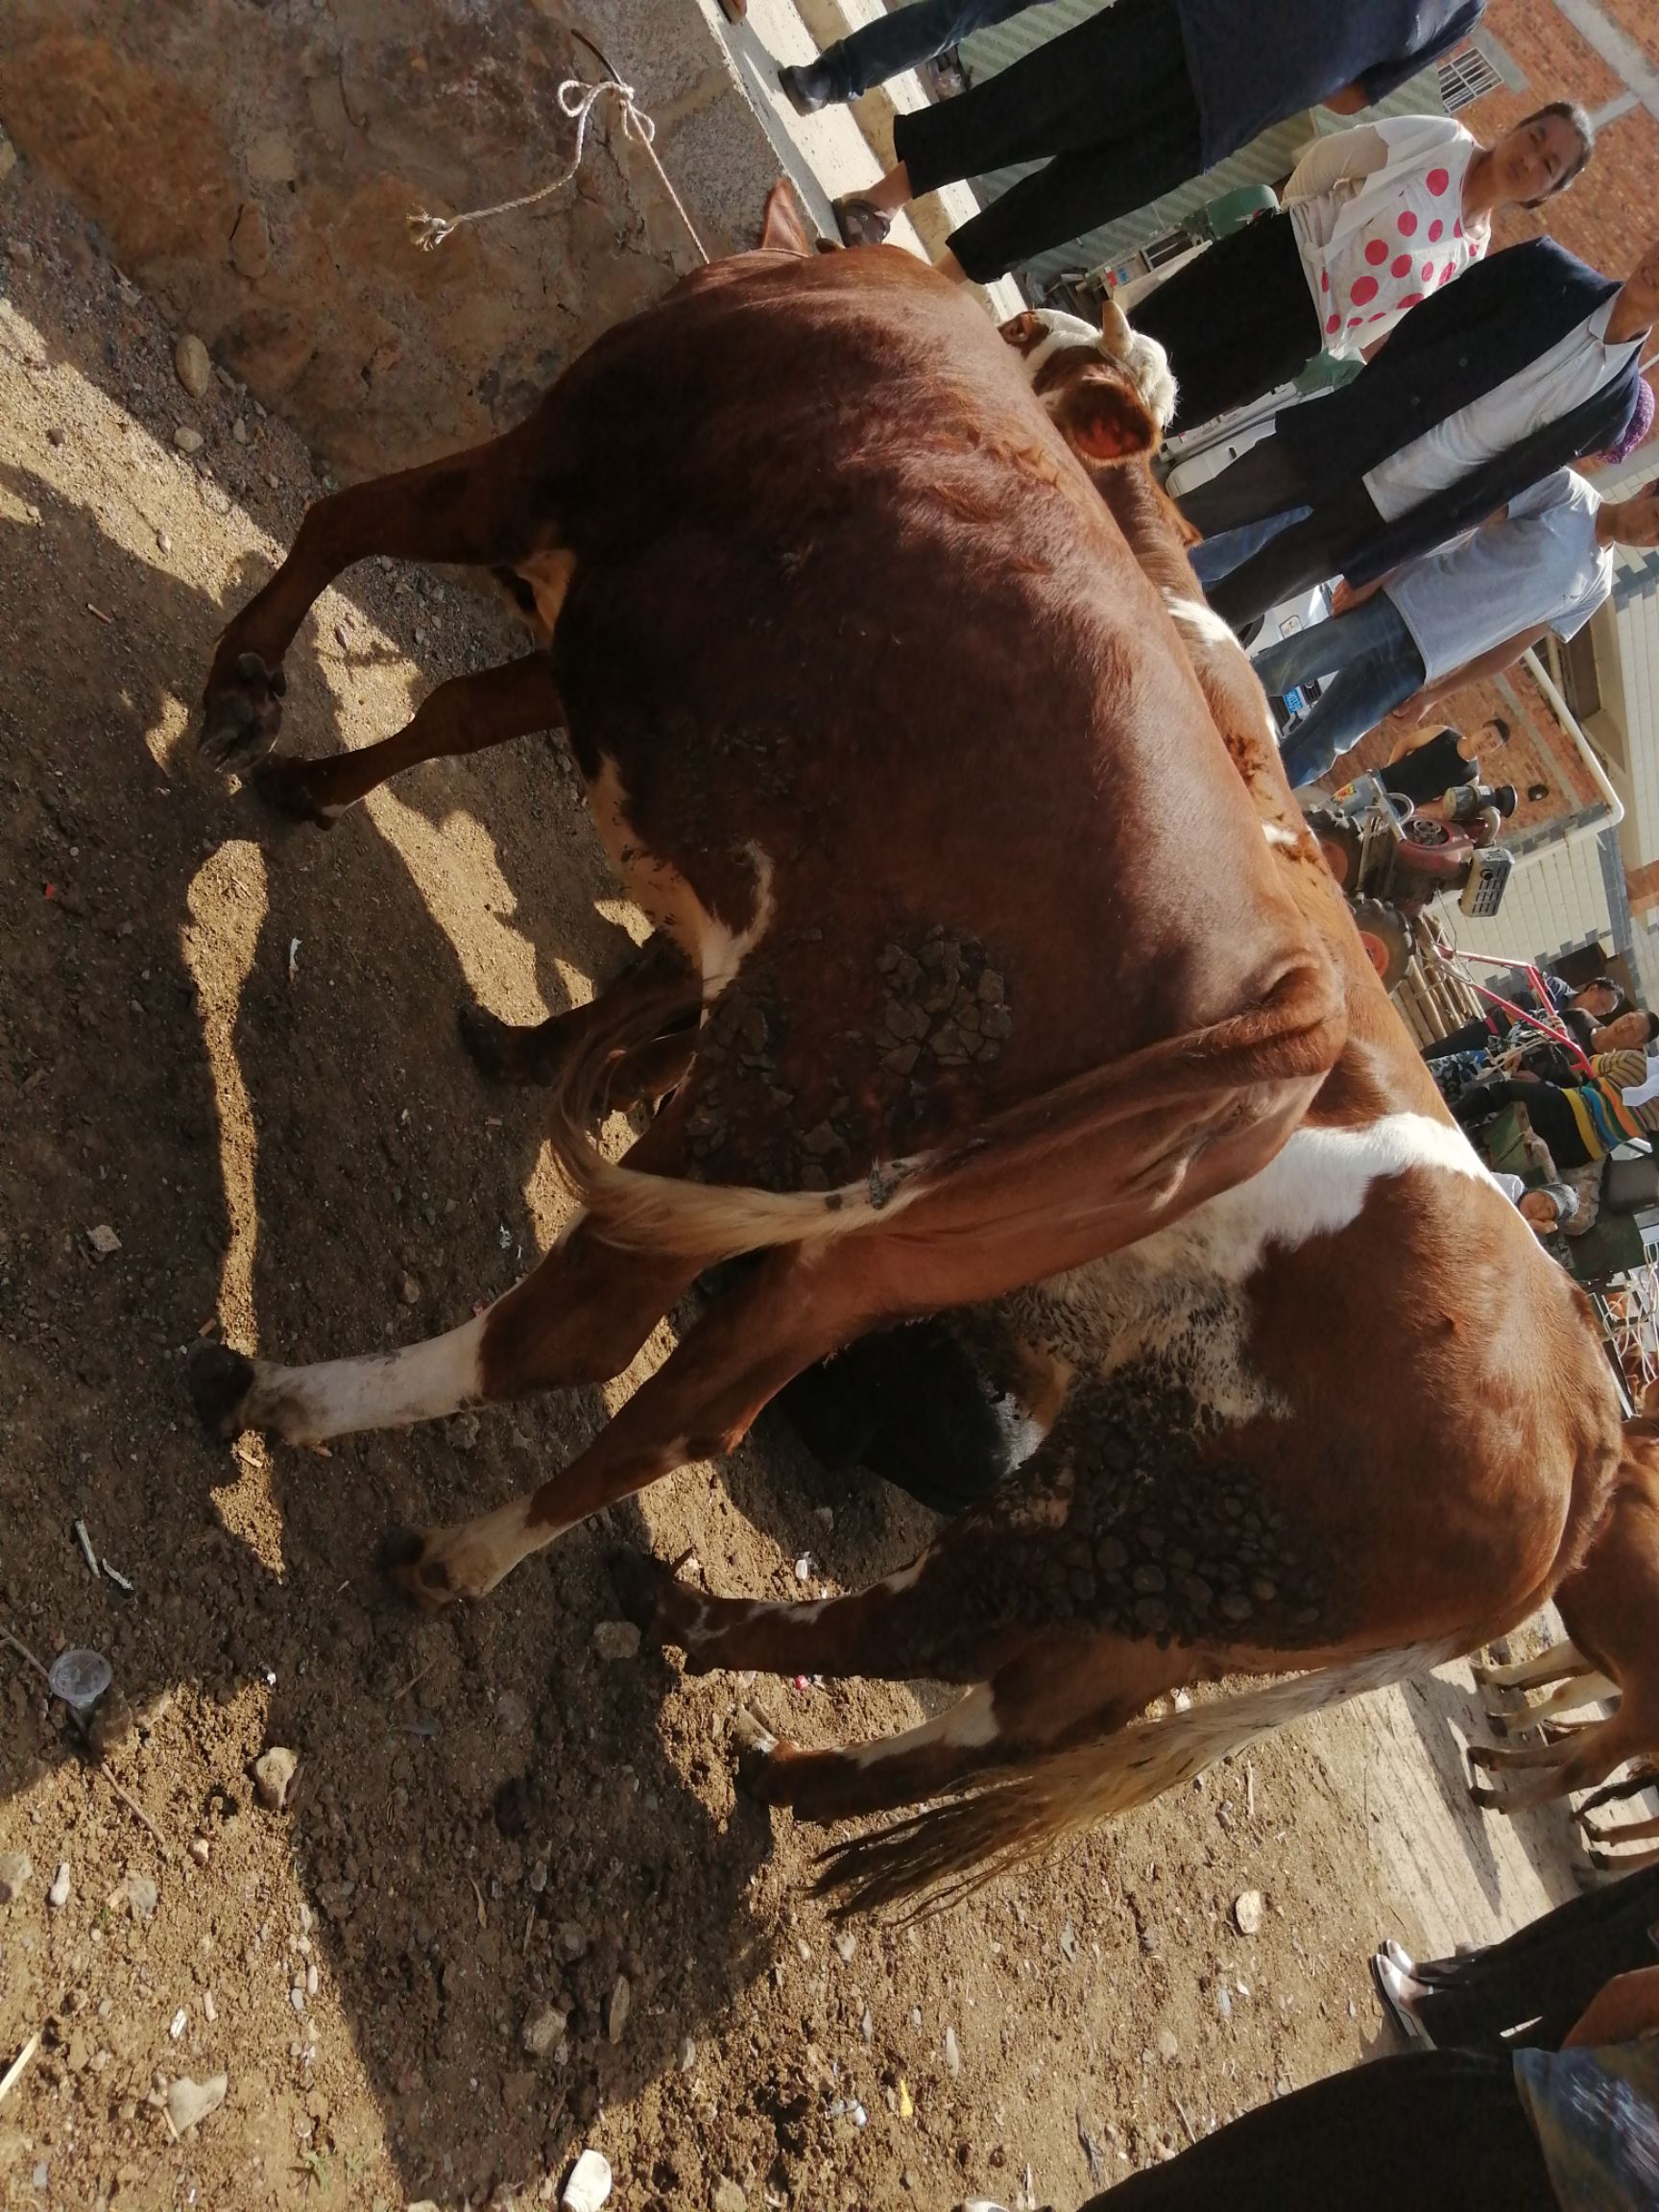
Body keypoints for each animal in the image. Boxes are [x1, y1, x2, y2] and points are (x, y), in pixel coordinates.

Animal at [187, 194, 1627, 1902]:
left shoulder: (544, 473)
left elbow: (350, 526)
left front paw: (252, 696)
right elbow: (468, 708)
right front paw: (345, 814)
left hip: (847, 1142)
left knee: (618, 1363)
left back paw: (312, 1407)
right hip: (951, 1330)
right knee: (786, 1500)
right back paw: (632, 1628)